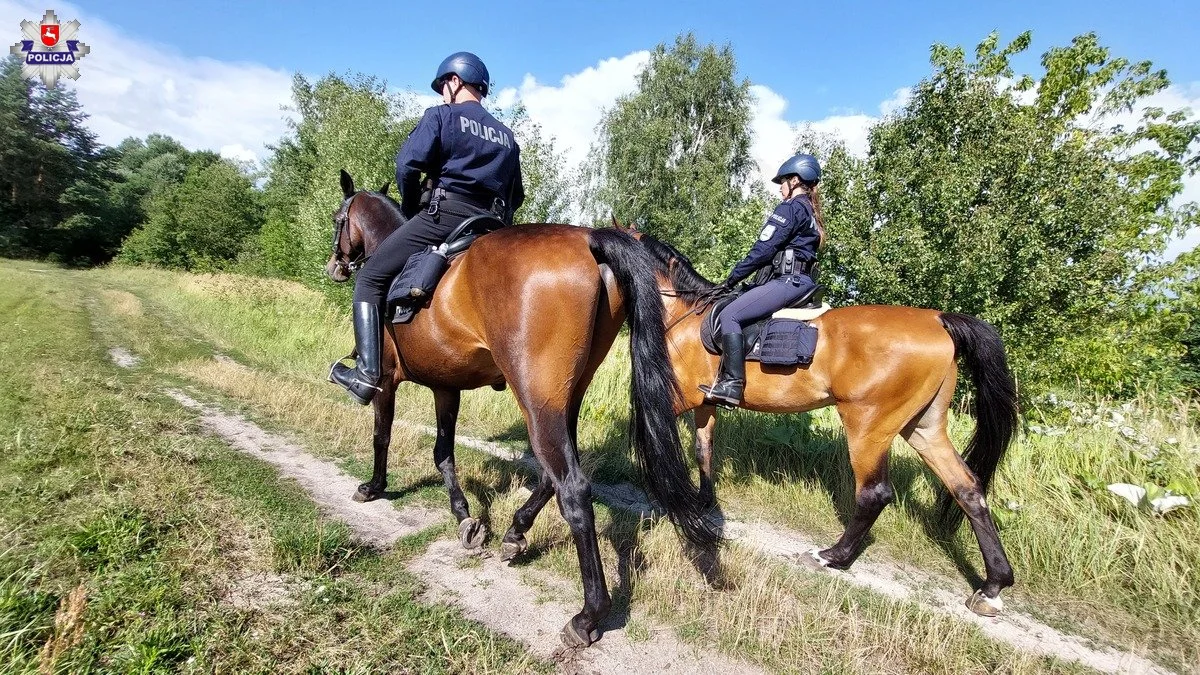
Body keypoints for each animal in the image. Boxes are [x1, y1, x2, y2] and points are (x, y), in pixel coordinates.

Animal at [324, 170, 710, 643]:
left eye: (339, 219)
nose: (335, 266)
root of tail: (590, 238)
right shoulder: (445, 387)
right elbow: (443, 452)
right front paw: (465, 518)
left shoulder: (385, 382)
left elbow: (382, 435)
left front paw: (374, 486)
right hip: (560, 397)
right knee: (552, 472)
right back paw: (515, 532)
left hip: (535, 397)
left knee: (572, 487)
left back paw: (588, 615)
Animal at [628, 224, 1022, 614]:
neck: (686, 314)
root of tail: (937, 320)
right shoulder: (705, 401)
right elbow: (704, 450)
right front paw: (703, 501)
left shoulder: (675, 397)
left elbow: (653, 434)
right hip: (923, 428)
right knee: (967, 488)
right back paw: (992, 587)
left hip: (868, 426)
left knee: (874, 493)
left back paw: (832, 557)